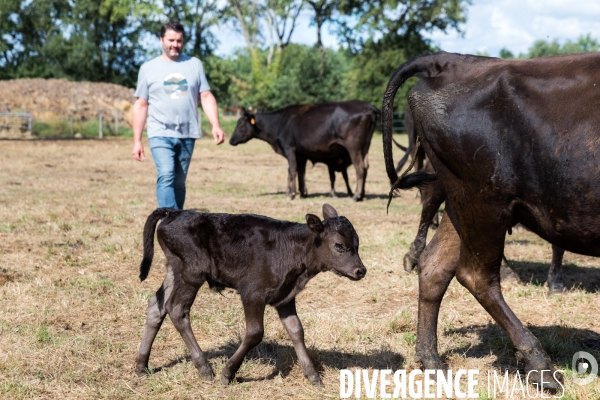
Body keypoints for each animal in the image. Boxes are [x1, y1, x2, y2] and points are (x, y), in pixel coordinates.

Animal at [135, 205, 366, 386]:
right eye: (339, 245)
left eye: (357, 244)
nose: (360, 271)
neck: (293, 248)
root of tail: (174, 212)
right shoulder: (252, 293)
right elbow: (255, 332)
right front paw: (228, 373)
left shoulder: (285, 298)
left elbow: (296, 331)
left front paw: (313, 375)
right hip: (191, 273)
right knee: (177, 310)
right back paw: (204, 368)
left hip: (174, 269)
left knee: (156, 305)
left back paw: (141, 364)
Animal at [227, 100, 378, 200]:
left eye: (240, 125)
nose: (231, 141)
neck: (280, 123)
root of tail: (366, 105)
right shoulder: (301, 153)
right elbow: (300, 172)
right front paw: (302, 192)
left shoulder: (290, 148)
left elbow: (292, 170)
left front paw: (291, 194)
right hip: (365, 145)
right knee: (366, 166)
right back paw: (362, 194)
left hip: (353, 146)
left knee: (360, 168)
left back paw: (356, 195)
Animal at [382, 51, 600, 390]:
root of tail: (449, 60)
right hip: (484, 205)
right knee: (476, 276)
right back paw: (539, 363)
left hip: (461, 206)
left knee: (434, 266)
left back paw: (431, 360)